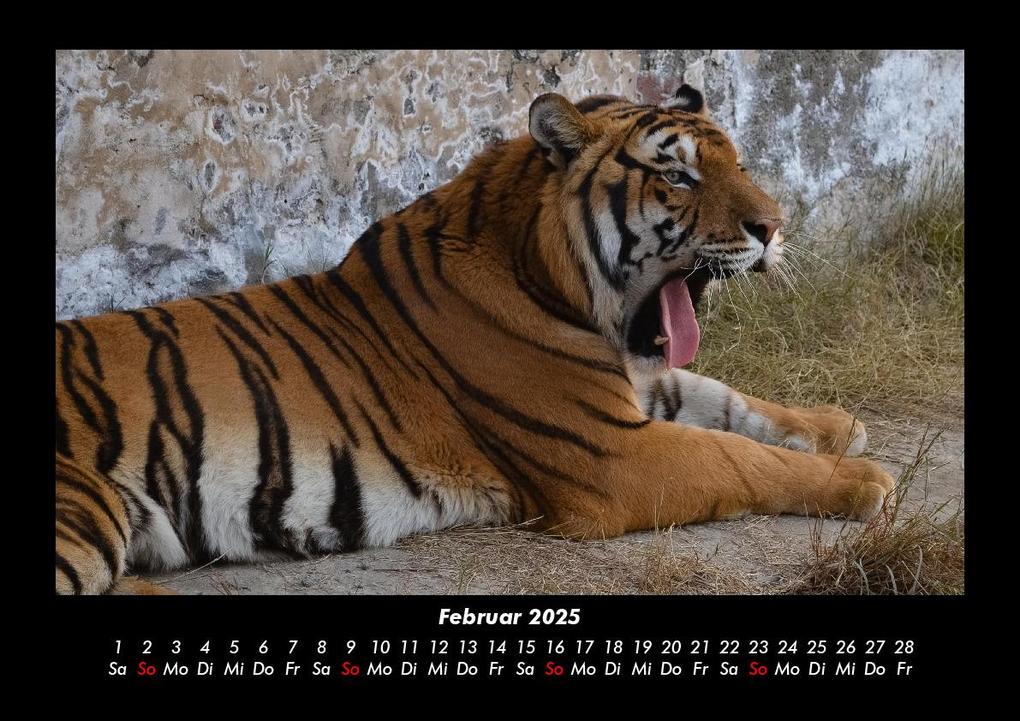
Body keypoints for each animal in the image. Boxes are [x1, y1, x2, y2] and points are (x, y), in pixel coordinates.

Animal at [55, 85, 894, 595]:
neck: (547, 271)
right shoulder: (613, 455)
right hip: (81, 511)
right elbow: (739, 457)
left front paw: (836, 425)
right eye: (679, 177)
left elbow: (722, 397)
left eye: (739, 163)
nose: (773, 227)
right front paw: (865, 480)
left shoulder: (632, 385)